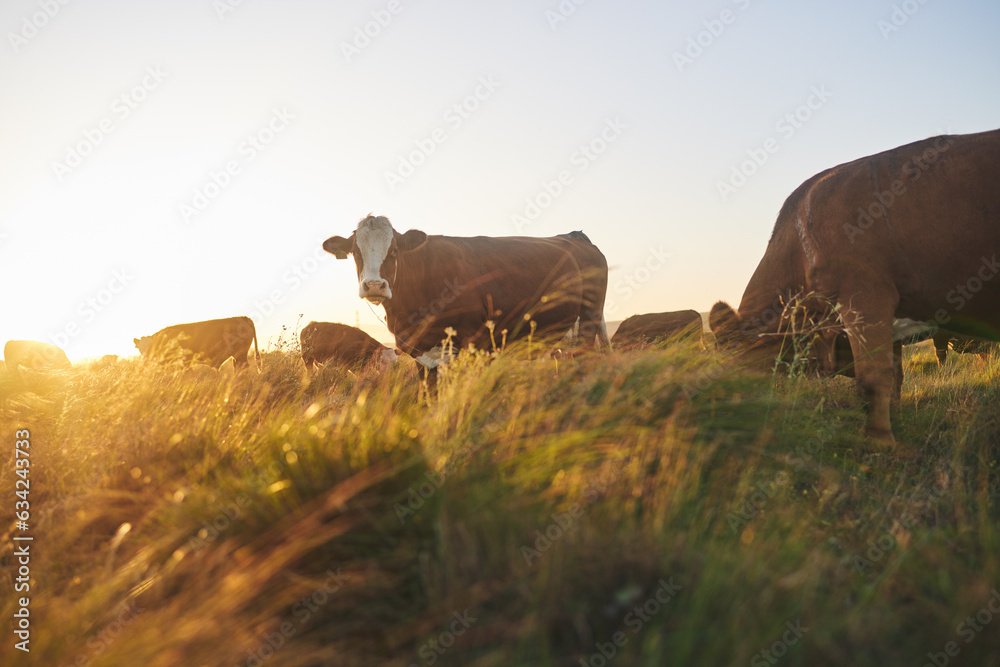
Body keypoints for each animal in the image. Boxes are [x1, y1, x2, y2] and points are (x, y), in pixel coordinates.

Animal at [324, 217, 612, 368]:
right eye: (355, 252)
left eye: (394, 251)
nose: (374, 285)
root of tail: (574, 237)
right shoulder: (419, 350)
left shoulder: (475, 341)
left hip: (590, 316)